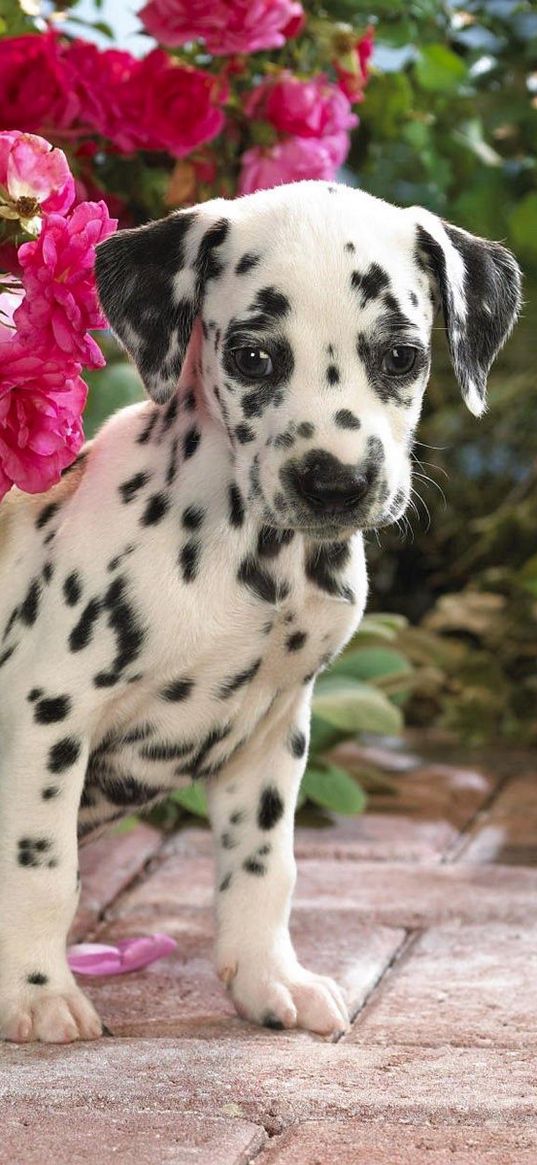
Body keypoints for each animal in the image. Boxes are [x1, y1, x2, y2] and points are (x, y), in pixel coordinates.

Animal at [0, 184, 519, 1048]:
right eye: (252, 358)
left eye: (401, 356)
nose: (332, 482)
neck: (255, 563)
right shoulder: (44, 713)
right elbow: (39, 864)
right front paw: (35, 992)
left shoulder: (275, 727)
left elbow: (263, 869)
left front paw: (270, 980)